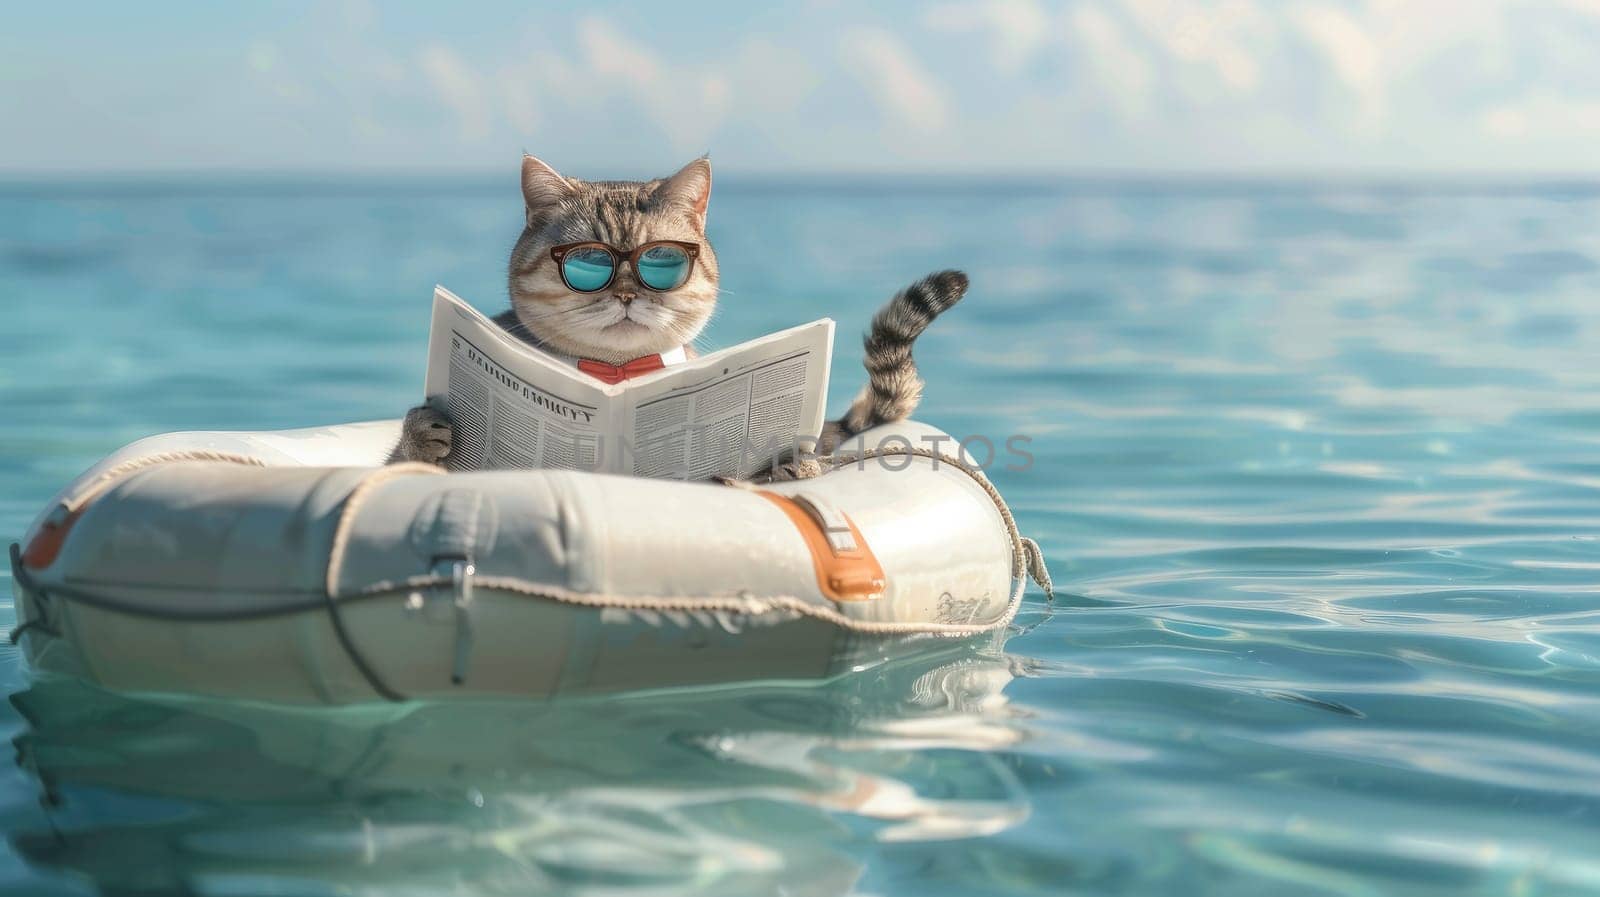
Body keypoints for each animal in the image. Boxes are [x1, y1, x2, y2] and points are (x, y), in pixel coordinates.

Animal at [390, 155, 960, 476]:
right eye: (589, 261)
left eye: (659, 260)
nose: (625, 293)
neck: (617, 376)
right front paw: (423, 433)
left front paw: (794, 465)